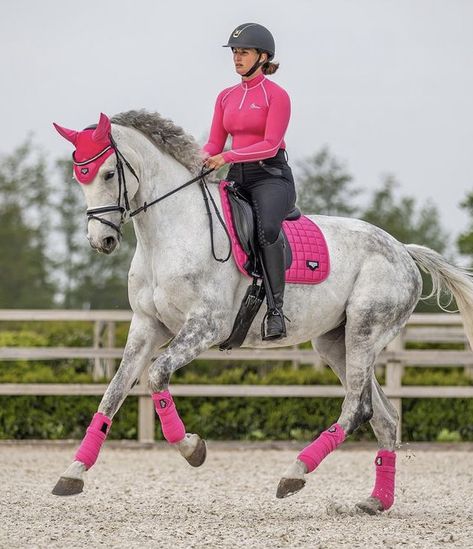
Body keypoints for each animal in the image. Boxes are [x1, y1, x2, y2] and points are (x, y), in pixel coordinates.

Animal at [51, 110, 472, 512]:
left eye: (109, 173)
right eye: (79, 177)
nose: (101, 240)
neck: (171, 234)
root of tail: (403, 250)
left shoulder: (206, 326)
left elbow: (156, 375)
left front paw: (192, 448)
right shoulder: (146, 326)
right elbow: (114, 391)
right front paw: (73, 472)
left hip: (364, 332)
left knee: (357, 408)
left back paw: (295, 473)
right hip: (336, 343)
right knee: (384, 416)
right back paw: (375, 502)